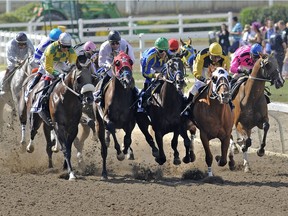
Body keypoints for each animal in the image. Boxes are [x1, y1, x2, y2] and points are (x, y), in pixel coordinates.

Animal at [93, 50, 136, 179]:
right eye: (117, 63)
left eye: (130, 61)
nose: (128, 81)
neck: (121, 96)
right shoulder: (107, 119)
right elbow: (111, 127)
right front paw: (119, 153)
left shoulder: (130, 122)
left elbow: (128, 139)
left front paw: (125, 150)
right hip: (98, 124)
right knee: (104, 149)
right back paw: (104, 173)